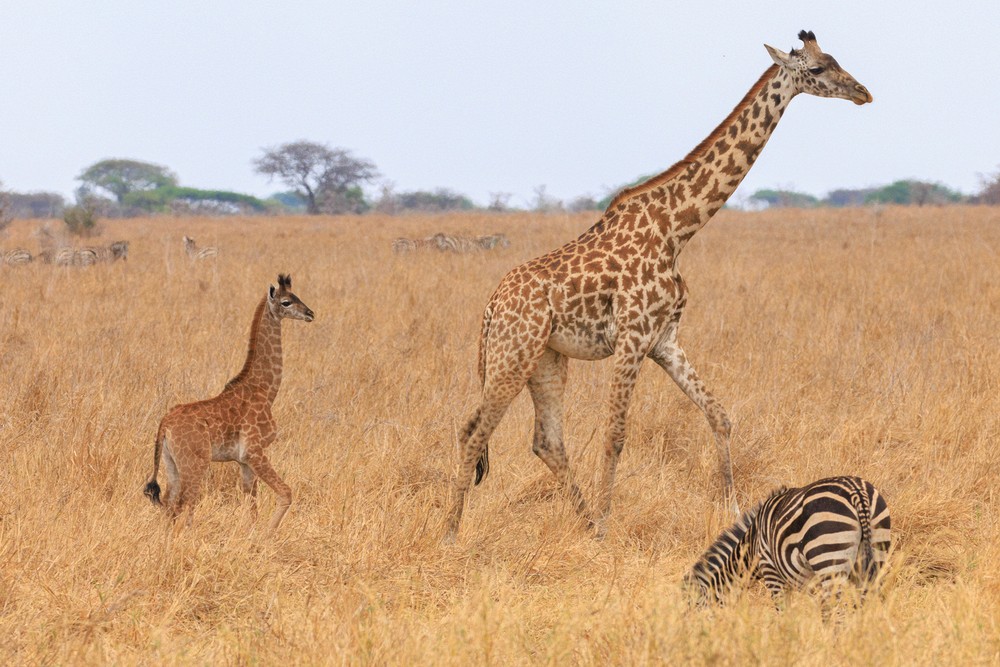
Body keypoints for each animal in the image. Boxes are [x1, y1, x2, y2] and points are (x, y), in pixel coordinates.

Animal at [143, 274, 315, 533]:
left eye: (297, 296)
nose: (310, 313)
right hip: (195, 464)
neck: (265, 390)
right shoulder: (255, 451)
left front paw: (253, 533)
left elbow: (251, 500)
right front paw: (268, 535)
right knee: (183, 503)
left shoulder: (243, 461)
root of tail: (164, 425)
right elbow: (285, 493)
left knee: (170, 503)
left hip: (171, 462)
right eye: (286, 302)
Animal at [445, 31, 872, 541]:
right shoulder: (632, 336)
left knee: (544, 440)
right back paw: (452, 532)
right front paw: (608, 526)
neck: (677, 229)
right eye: (820, 69)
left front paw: (731, 508)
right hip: (513, 353)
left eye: (836, 59)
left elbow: (719, 415)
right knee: (474, 430)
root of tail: (491, 305)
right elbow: (615, 435)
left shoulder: (664, 339)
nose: (864, 93)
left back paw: (580, 520)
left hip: (545, 359)